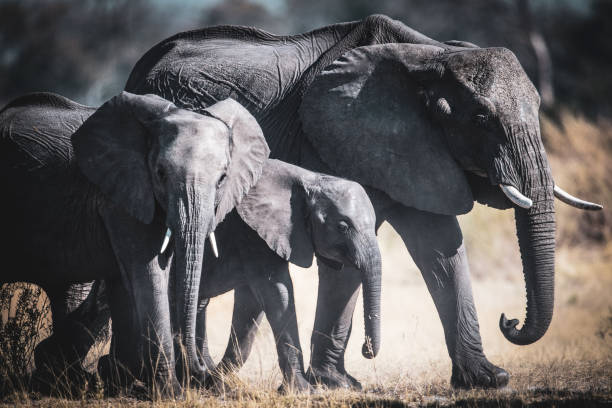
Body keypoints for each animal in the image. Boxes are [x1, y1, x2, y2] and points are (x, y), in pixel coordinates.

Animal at [0, 91, 268, 392]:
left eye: (222, 178)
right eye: (160, 173)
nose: (202, 371)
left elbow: (132, 280)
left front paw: (122, 379)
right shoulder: (120, 195)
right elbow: (148, 274)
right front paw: (170, 393)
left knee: (69, 291)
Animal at [192, 159, 382, 392]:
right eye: (342, 226)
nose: (366, 349)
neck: (309, 180)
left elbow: (252, 302)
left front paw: (216, 381)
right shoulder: (251, 231)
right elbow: (276, 292)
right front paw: (303, 390)